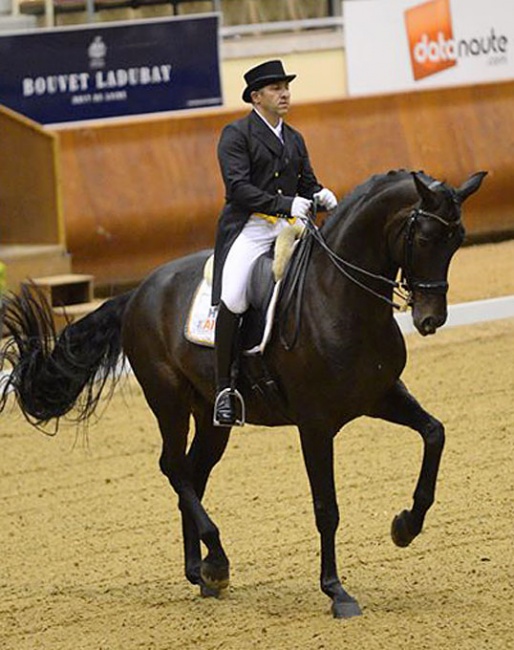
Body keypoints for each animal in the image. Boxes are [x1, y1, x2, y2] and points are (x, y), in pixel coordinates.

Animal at [0, 170, 484, 616]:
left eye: (458, 239)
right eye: (424, 237)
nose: (430, 319)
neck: (339, 297)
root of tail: (138, 291)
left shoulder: (380, 395)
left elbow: (435, 433)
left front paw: (405, 526)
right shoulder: (315, 424)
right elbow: (326, 506)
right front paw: (336, 591)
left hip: (212, 416)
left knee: (193, 472)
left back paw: (202, 572)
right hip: (168, 401)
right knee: (174, 467)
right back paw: (216, 560)